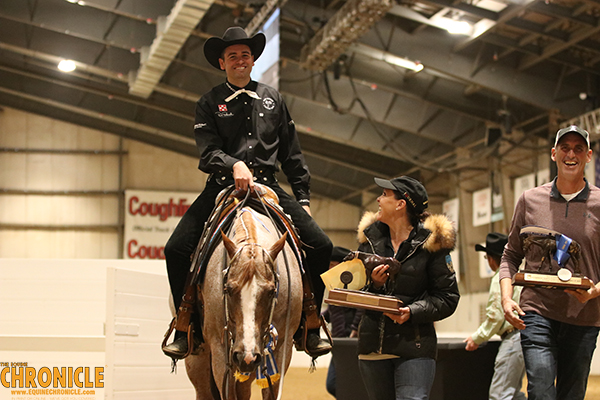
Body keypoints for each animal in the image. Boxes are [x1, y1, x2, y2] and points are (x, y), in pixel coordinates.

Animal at [185, 192, 302, 398]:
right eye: (228, 289)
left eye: (271, 291)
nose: (246, 357)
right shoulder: (221, 351)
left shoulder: (282, 348)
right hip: (199, 359)